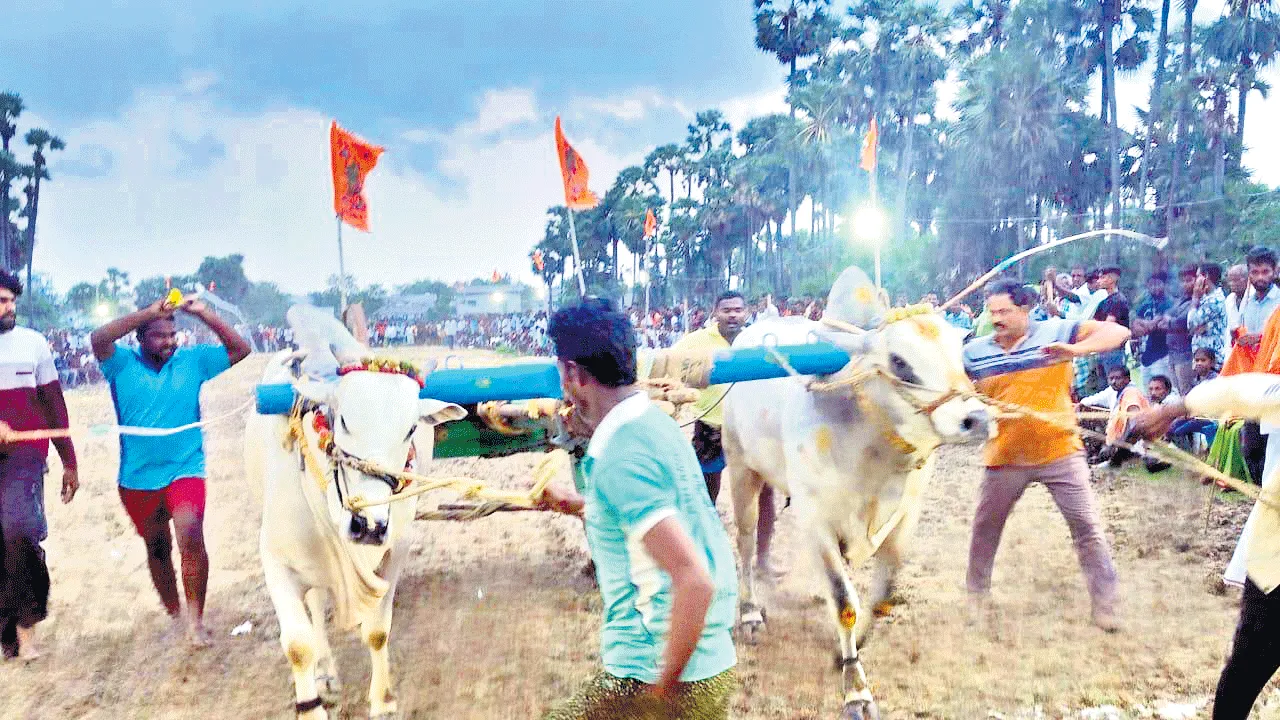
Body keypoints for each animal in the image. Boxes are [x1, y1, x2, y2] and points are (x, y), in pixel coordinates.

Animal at [245, 306, 464, 720]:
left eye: (410, 429)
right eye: (343, 419)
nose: (369, 525)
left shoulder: (396, 550)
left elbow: (377, 631)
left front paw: (382, 700)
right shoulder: (275, 560)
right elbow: (298, 646)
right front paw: (312, 704)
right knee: (315, 606)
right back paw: (326, 675)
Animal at [722, 267, 992, 720]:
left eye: (961, 352)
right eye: (899, 361)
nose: (977, 419)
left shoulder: (905, 516)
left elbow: (883, 594)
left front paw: (849, 650)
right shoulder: (817, 521)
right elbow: (844, 601)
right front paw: (856, 688)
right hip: (741, 467)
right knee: (743, 542)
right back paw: (749, 612)